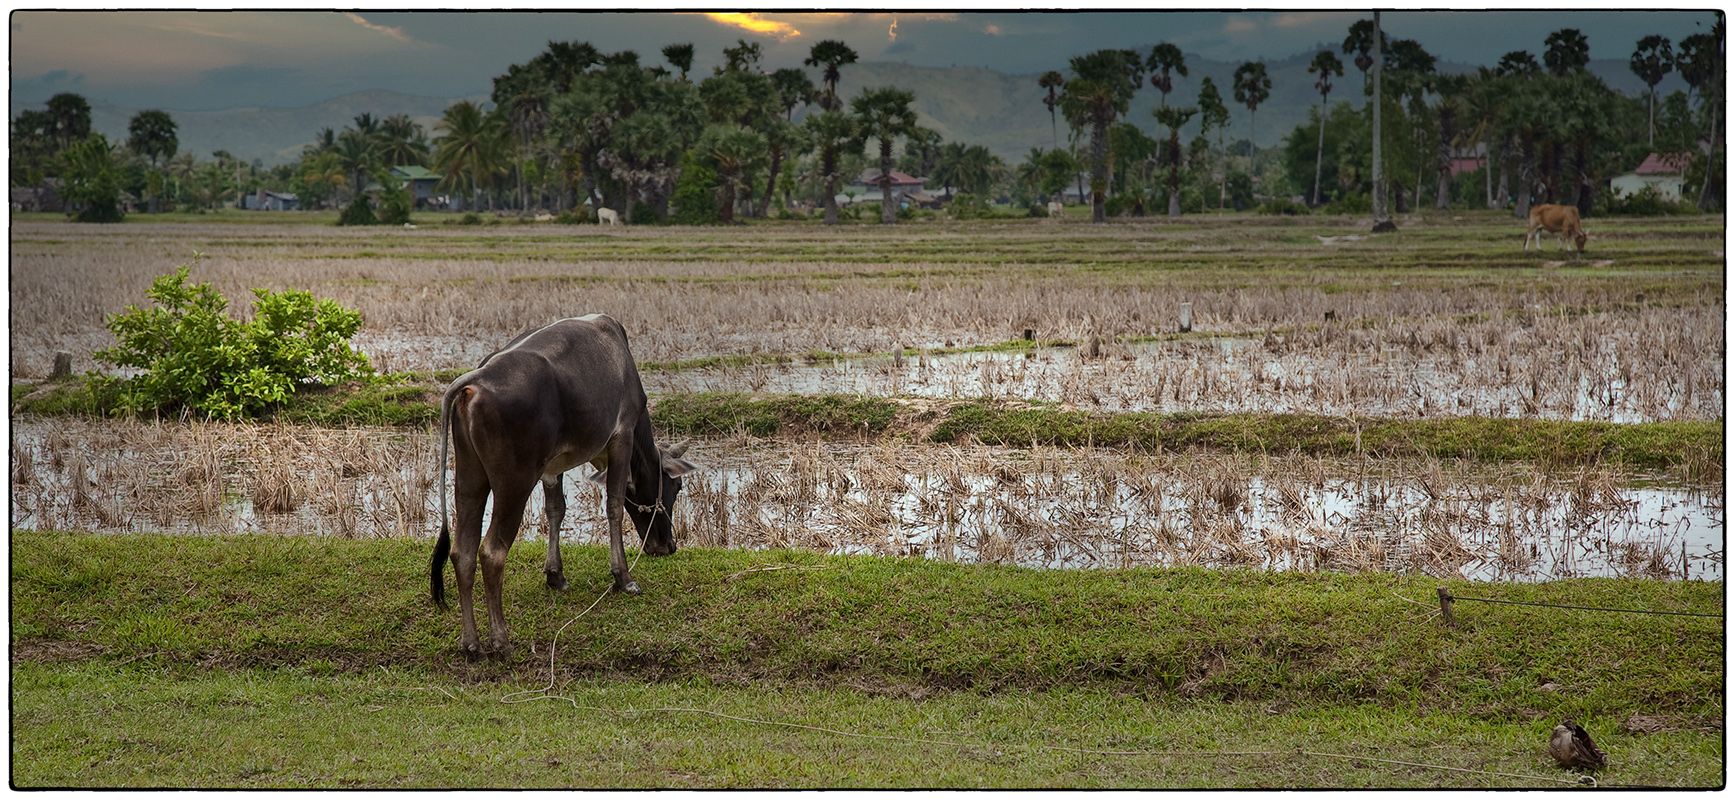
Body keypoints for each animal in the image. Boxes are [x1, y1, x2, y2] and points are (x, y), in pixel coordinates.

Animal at [430, 314, 694, 659]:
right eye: (676, 487)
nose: (666, 545)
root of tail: (476, 380)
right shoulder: (621, 435)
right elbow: (613, 504)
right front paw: (623, 578)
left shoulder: (552, 469)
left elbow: (556, 510)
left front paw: (555, 575)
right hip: (514, 484)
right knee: (492, 553)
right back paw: (500, 639)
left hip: (469, 481)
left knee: (463, 552)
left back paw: (471, 642)